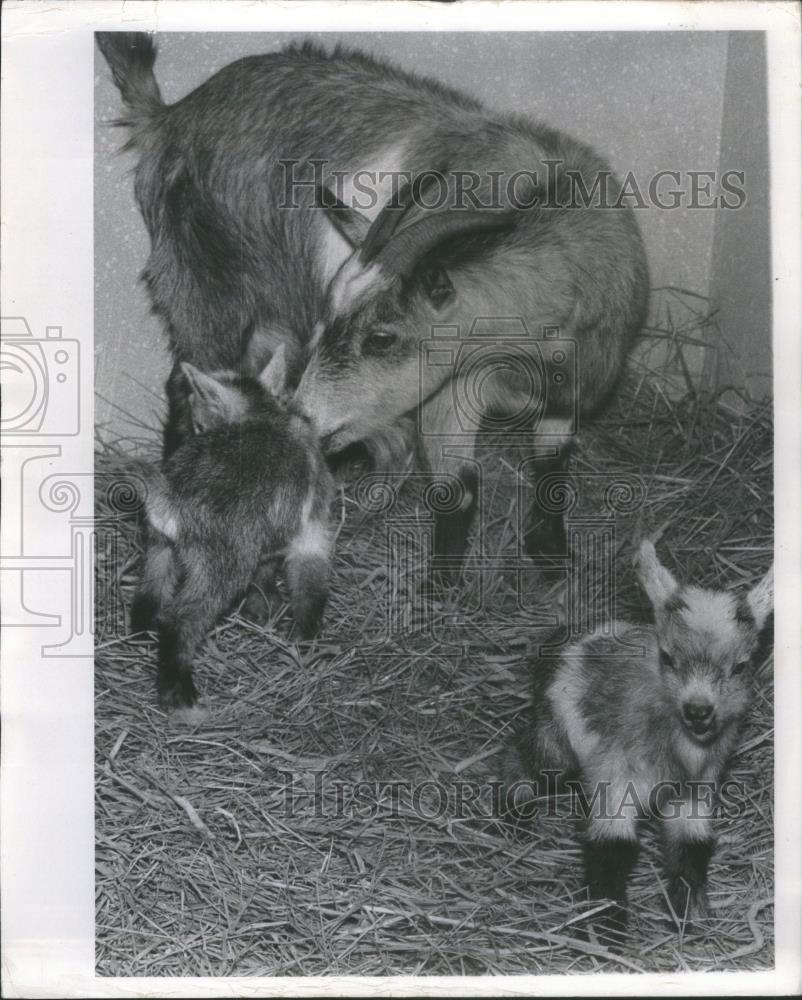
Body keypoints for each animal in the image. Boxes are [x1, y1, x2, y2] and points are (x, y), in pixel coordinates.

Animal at [133, 346, 332, 712]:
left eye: (200, 424)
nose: (193, 434)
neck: (264, 416)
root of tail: (171, 499)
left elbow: (264, 573)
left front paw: (262, 607)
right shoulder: (311, 528)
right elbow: (309, 585)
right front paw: (305, 638)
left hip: (159, 547)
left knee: (150, 590)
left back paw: (138, 634)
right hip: (221, 567)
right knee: (180, 618)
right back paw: (179, 695)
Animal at [504, 544, 772, 940]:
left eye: (739, 667)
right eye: (668, 657)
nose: (698, 711)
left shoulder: (694, 789)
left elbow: (690, 845)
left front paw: (690, 911)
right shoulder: (614, 776)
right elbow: (611, 848)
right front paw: (604, 932)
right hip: (556, 738)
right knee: (523, 753)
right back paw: (514, 810)